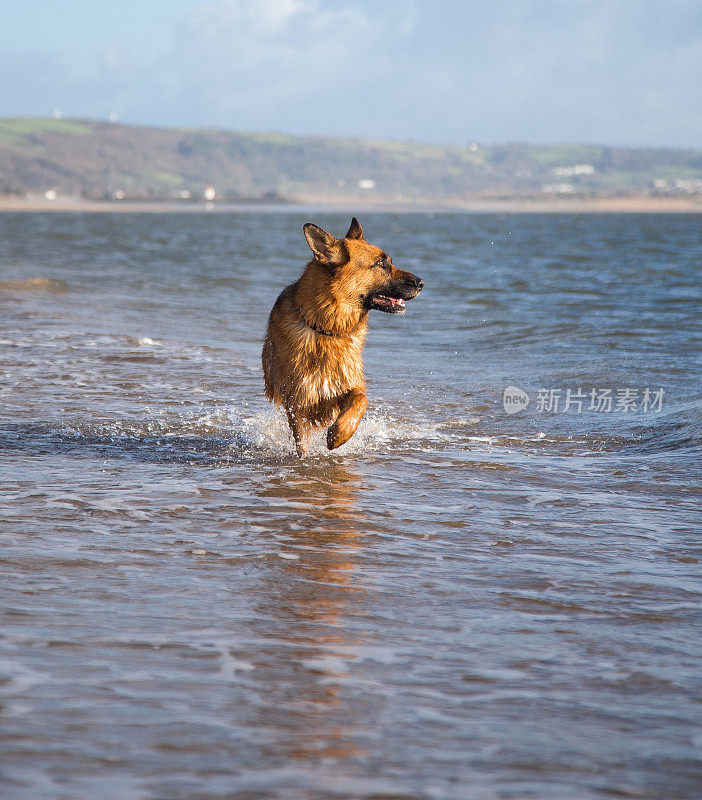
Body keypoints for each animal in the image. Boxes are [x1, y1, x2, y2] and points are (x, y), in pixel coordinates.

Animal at [264, 219, 426, 456]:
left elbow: (360, 400)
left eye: (389, 262)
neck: (326, 328)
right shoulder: (299, 399)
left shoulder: (348, 383)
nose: (421, 283)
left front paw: (339, 433)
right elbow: (301, 442)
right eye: (380, 263)